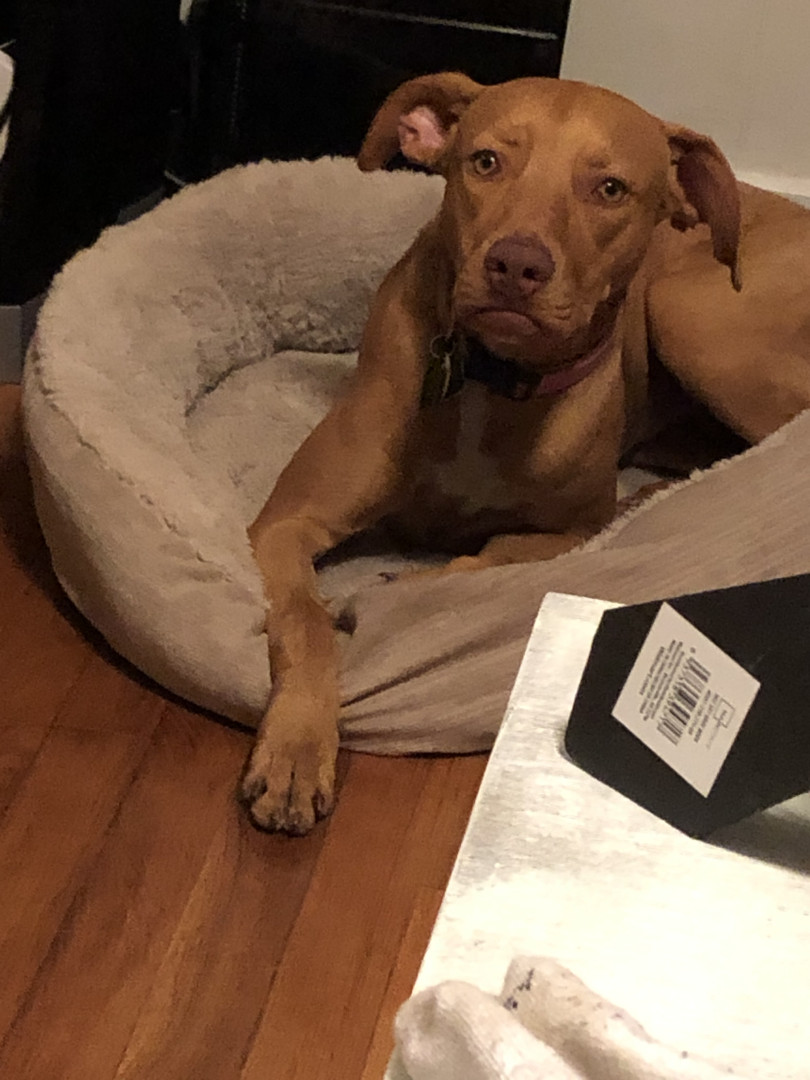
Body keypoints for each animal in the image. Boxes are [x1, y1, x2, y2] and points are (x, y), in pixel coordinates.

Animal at [240, 73, 810, 834]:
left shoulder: (568, 532)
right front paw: (297, 754)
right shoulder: (286, 524)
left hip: (696, 316)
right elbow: (304, 621)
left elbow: (491, 554)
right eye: (485, 162)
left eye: (610, 188)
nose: (517, 265)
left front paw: (399, 587)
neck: (491, 378)